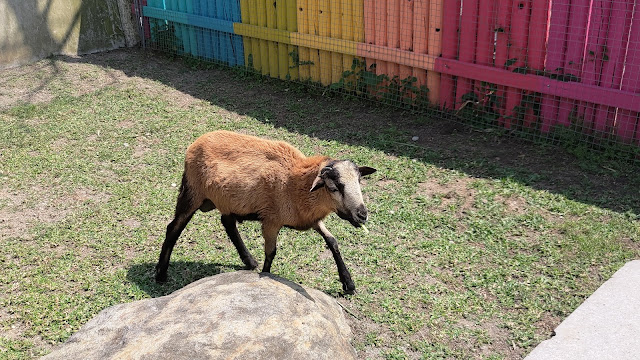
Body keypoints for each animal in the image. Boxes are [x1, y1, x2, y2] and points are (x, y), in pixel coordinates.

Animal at [155, 131, 376, 294]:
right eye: (334, 187)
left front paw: (349, 283)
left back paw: (249, 261)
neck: (295, 184)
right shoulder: (271, 220)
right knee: (173, 228)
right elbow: (271, 253)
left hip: (226, 200)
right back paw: (160, 274)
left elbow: (332, 242)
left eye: (359, 181)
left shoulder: (311, 219)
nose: (362, 215)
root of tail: (197, 141)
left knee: (227, 223)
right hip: (192, 193)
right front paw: (266, 276)